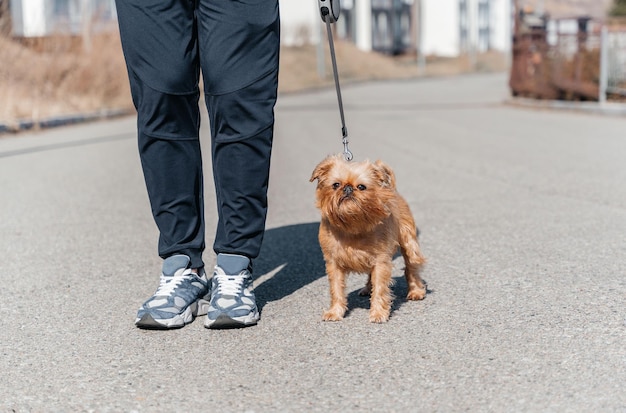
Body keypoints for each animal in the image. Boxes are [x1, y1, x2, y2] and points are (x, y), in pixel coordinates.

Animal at [308, 154, 424, 322]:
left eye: (361, 187)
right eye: (335, 185)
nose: (348, 188)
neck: (352, 223)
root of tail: (392, 189)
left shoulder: (381, 261)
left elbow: (380, 288)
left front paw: (378, 313)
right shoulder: (333, 263)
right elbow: (336, 289)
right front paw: (335, 312)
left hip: (409, 244)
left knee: (411, 267)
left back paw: (416, 291)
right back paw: (367, 289)